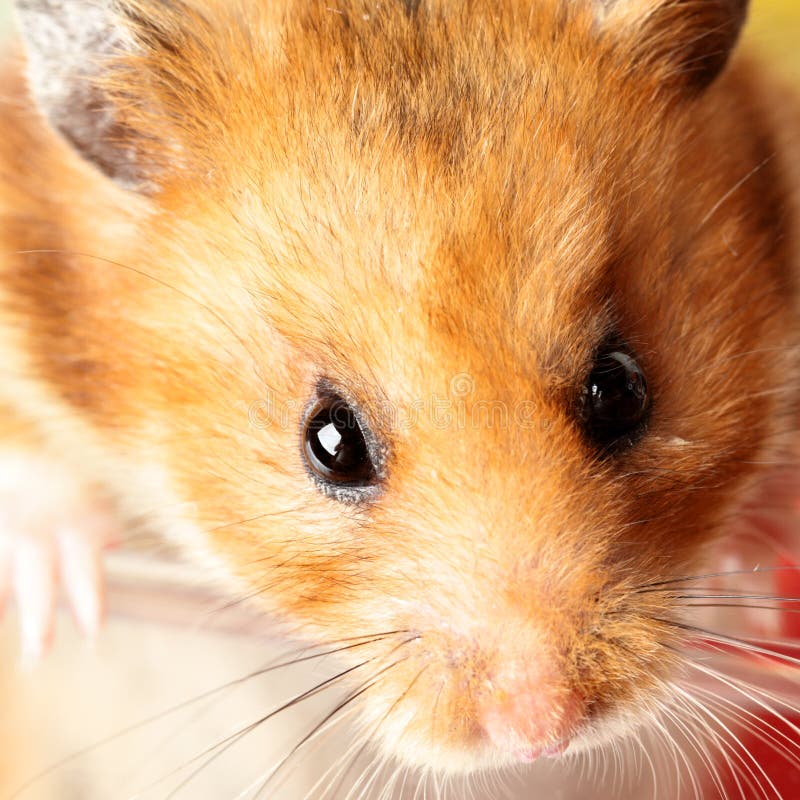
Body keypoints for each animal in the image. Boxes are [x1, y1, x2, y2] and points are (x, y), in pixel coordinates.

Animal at [0, 0, 798, 782]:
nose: (543, 735)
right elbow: (31, 467)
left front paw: (761, 568)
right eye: (330, 441)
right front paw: (68, 605)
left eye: (622, 390)